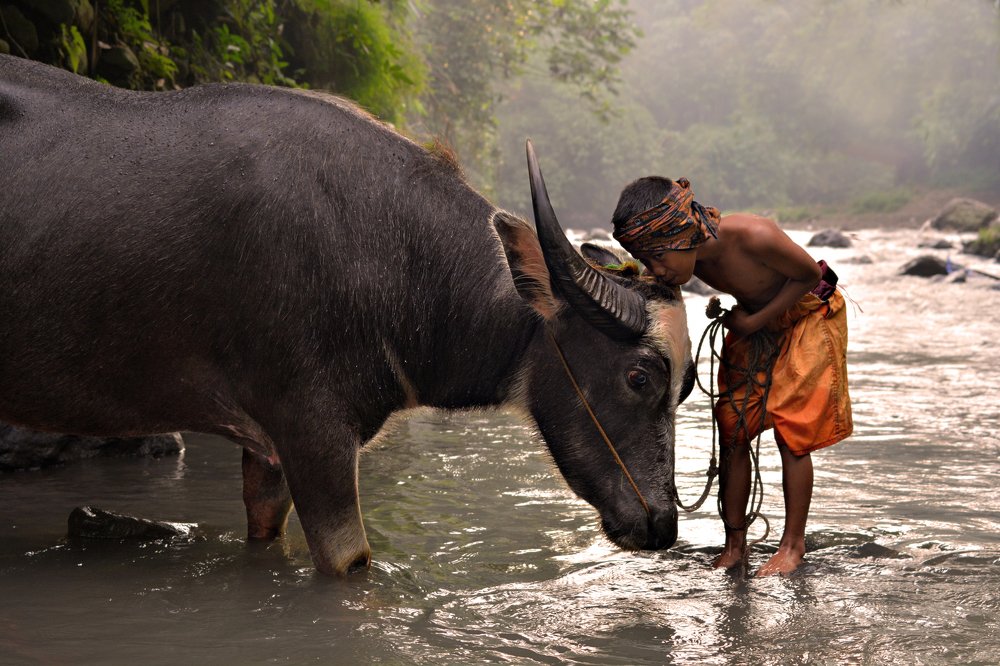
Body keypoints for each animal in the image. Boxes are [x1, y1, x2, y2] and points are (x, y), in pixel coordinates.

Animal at [0, 55, 693, 574]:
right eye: (639, 376)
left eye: (683, 388)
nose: (662, 524)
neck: (389, 257)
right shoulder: (314, 433)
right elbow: (350, 563)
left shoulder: (269, 452)